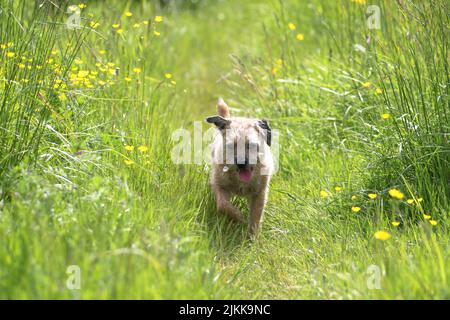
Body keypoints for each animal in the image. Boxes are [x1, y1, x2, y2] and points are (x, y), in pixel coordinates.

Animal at [205, 97, 274, 235]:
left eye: (251, 145)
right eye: (232, 146)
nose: (241, 162)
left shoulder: (260, 193)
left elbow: (256, 216)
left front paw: (253, 236)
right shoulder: (219, 185)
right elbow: (223, 206)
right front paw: (238, 218)